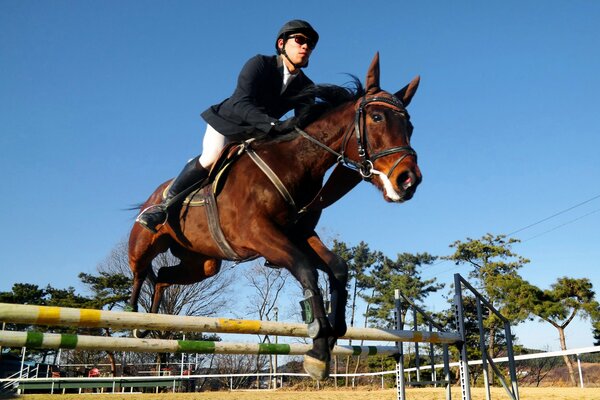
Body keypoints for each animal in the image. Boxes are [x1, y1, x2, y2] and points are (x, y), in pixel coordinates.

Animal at [127, 51, 422, 380]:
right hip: (144, 245)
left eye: (409, 126)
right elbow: (306, 269)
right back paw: (134, 317)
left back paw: (149, 325)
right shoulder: (258, 234)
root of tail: (153, 194)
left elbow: (337, 267)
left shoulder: (299, 234)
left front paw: (335, 331)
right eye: (377, 118)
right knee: (140, 272)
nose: (408, 181)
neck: (297, 162)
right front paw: (319, 348)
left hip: (202, 264)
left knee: (164, 277)